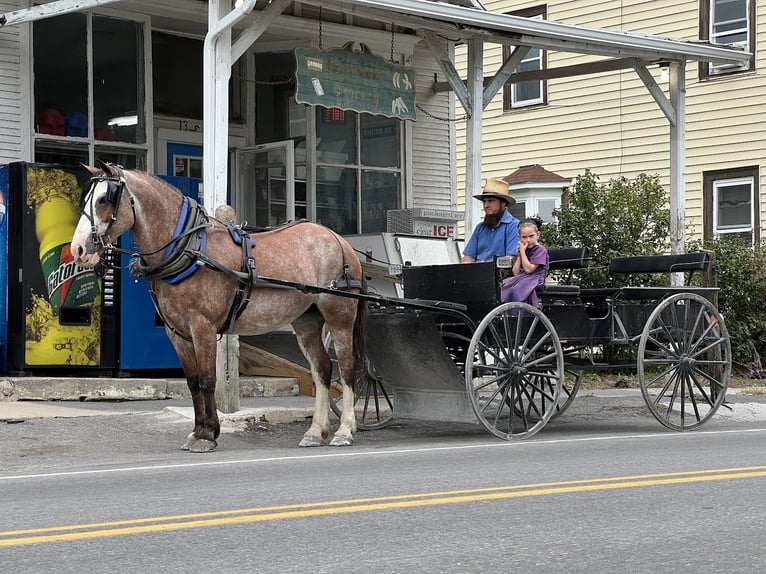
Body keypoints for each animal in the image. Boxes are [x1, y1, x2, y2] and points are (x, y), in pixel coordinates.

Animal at [72, 163, 368, 454]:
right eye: (85, 198)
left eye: (104, 199)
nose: (78, 249)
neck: (188, 248)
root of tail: (339, 240)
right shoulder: (176, 333)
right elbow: (192, 382)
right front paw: (198, 430)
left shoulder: (202, 327)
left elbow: (207, 379)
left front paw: (208, 434)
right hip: (306, 320)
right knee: (322, 370)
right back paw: (316, 432)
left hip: (340, 317)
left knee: (347, 367)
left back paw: (344, 430)